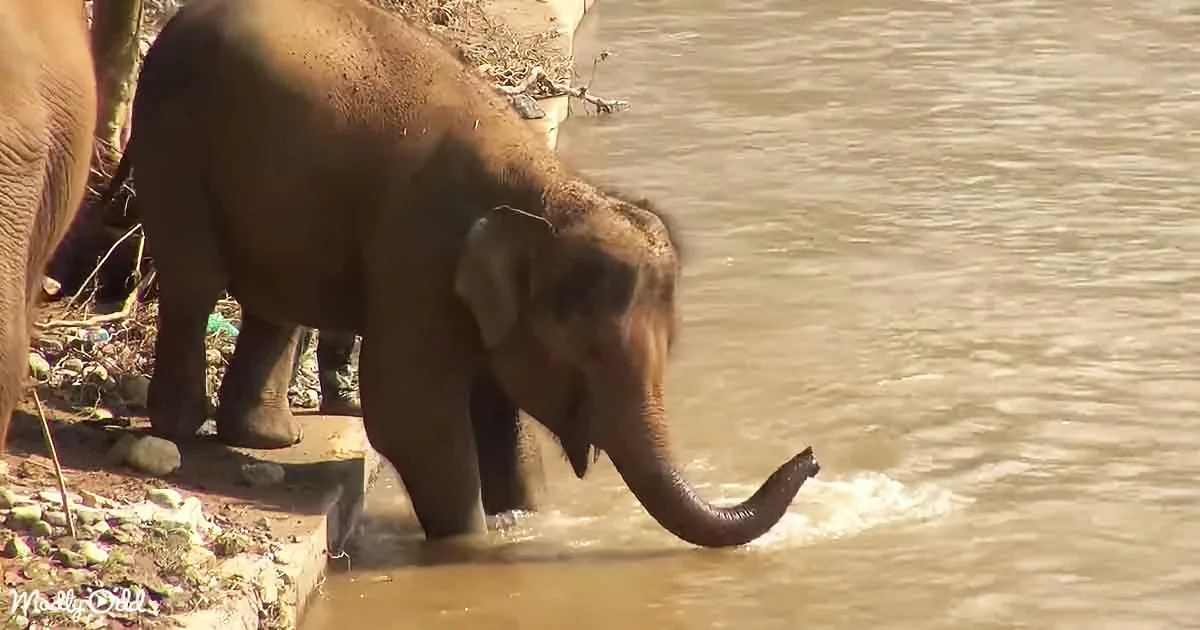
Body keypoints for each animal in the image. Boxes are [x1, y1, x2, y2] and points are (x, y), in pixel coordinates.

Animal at [104, 0, 820, 547]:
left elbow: (498, 403)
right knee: (195, 280)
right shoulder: (418, 257)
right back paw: (181, 427)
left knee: (271, 300)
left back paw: (268, 439)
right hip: (174, 141)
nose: (811, 458)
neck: (550, 191)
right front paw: (474, 546)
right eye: (588, 354)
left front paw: (523, 519)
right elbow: (411, 412)